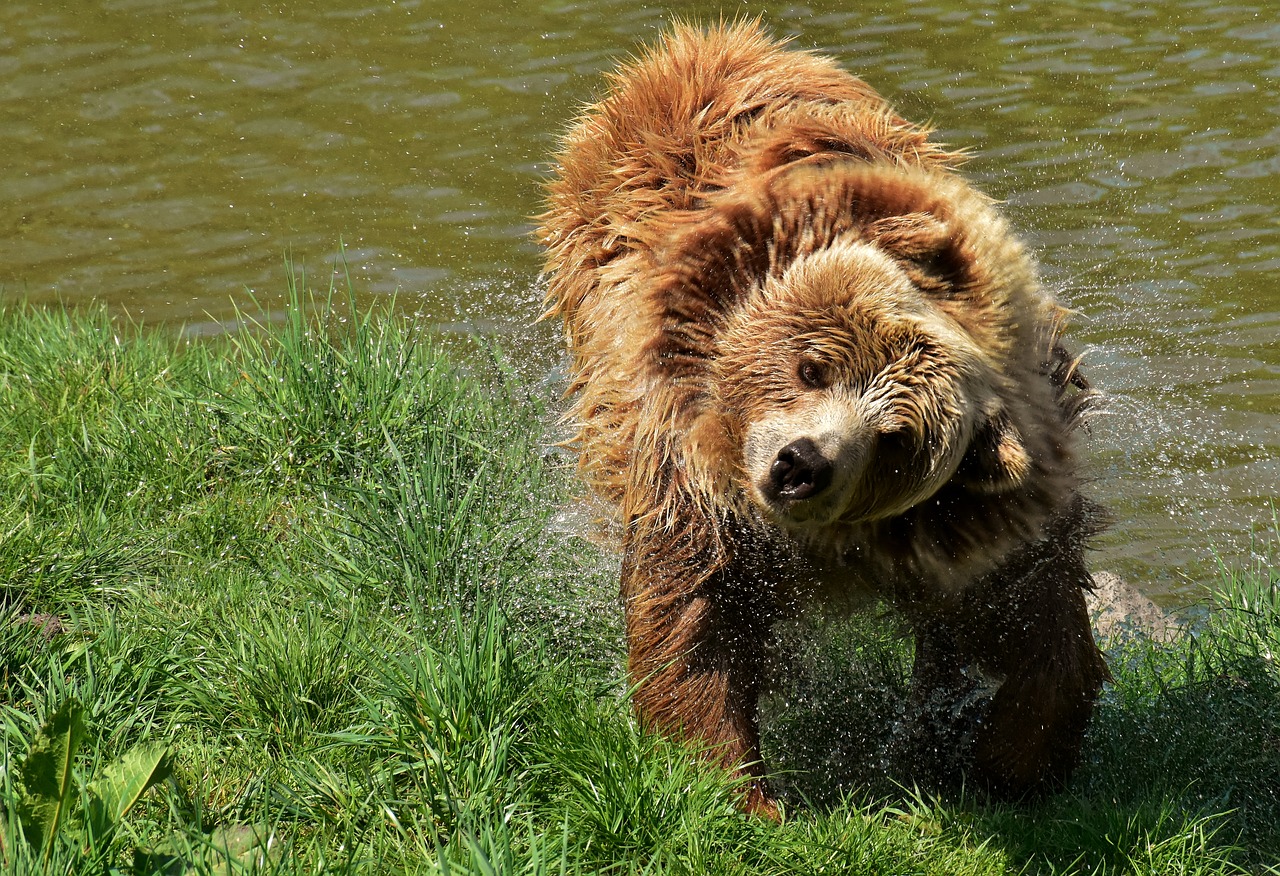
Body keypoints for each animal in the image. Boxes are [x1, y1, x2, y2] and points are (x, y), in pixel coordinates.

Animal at [537, 22, 1111, 814]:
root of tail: (720, 41)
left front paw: (1014, 757)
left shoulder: (989, 503)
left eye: (896, 440)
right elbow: (696, 611)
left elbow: (1031, 605)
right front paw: (734, 787)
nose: (801, 463)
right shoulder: (689, 472)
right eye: (812, 366)